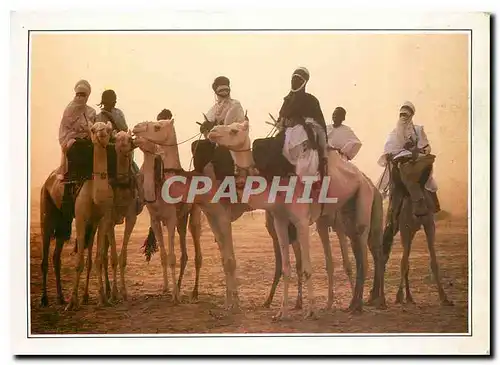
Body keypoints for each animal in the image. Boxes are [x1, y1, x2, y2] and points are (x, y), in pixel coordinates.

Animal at [207, 120, 386, 318]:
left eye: (233, 130)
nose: (212, 132)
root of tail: (370, 183)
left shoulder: (301, 222)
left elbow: (307, 267)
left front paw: (311, 311)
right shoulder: (280, 221)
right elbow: (286, 267)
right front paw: (281, 313)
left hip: (363, 199)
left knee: (364, 253)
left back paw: (361, 305)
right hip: (341, 215)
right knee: (349, 253)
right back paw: (344, 304)